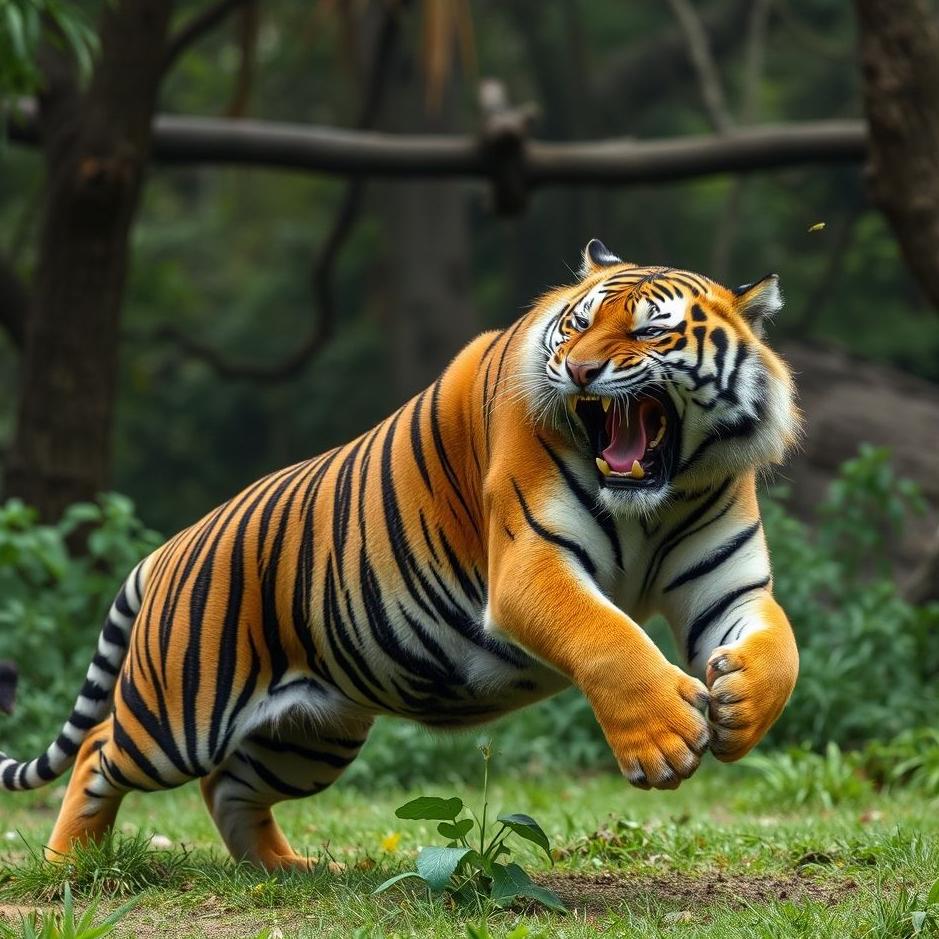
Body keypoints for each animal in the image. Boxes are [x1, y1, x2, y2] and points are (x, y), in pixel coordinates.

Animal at [0, 240, 800, 871]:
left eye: (648, 332)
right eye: (577, 325)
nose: (576, 370)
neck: (652, 500)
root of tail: (167, 548)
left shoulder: (728, 585)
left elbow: (780, 649)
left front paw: (738, 708)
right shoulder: (529, 564)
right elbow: (605, 634)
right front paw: (664, 741)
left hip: (309, 736)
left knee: (225, 787)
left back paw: (284, 871)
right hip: (180, 712)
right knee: (99, 748)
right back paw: (69, 865)